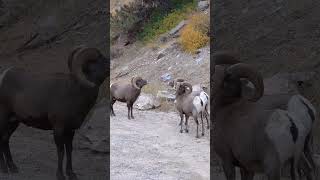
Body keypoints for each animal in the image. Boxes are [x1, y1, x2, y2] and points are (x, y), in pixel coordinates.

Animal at [0, 46, 109, 180]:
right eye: (99, 60)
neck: (75, 93)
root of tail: (3, 77)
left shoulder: (70, 130)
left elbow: (69, 150)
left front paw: (71, 174)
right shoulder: (58, 128)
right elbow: (60, 151)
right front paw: (60, 175)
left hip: (13, 122)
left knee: (5, 139)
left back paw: (13, 168)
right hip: (3, 118)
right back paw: (4, 169)